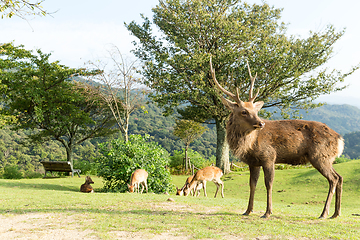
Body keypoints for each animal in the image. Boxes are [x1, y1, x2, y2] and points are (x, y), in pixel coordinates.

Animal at [210, 57, 344, 218]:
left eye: (255, 110)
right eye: (244, 111)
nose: (261, 123)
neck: (250, 145)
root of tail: (340, 139)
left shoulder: (269, 156)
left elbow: (269, 183)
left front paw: (267, 212)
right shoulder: (253, 162)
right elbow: (252, 184)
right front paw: (248, 210)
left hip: (320, 156)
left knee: (333, 179)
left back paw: (324, 213)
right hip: (327, 158)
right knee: (340, 177)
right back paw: (336, 213)